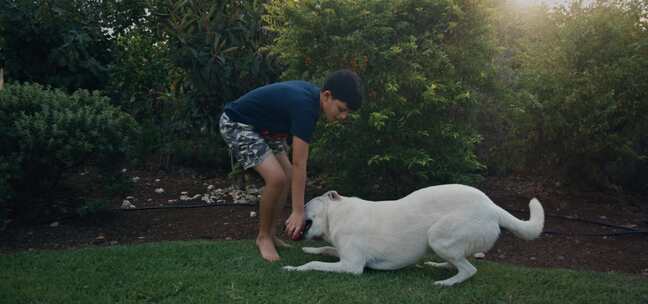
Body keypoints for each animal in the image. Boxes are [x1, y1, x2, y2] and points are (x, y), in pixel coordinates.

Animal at [282, 184, 540, 286]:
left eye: (307, 203)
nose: (293, 211)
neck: (336, 214)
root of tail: (492, 206)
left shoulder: (352, 266)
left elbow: (313, 264)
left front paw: (294, 268)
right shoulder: (343, 255)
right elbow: (325, 249)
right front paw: (309, 248)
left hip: (437, 235)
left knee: (469, 270)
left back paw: (446, 283)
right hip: (442, 244)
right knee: (458, 261)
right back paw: (438, 266)